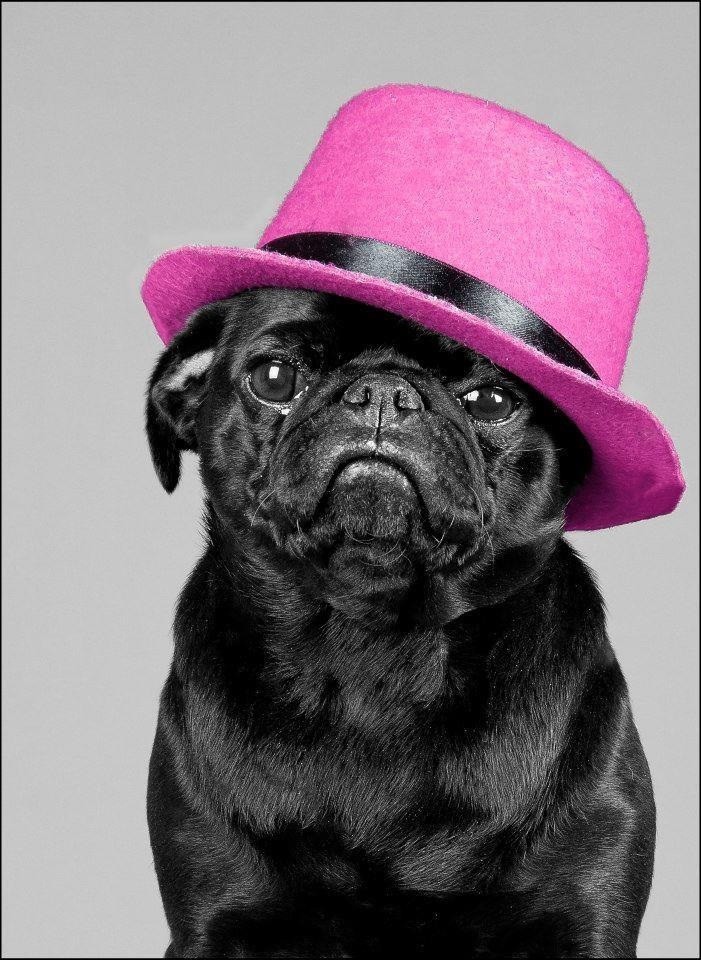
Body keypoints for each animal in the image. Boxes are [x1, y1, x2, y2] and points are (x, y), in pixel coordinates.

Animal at [145, 287, 655, 958]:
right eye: (274, 377)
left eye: (492, 402)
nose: (384, 391)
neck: (376, 656)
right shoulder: (217, 914)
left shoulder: (584, 915)